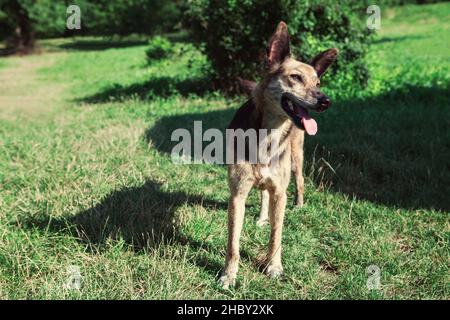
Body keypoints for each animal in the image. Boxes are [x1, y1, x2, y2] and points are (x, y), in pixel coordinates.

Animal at [220, 21, 340, 288]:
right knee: (263, 194)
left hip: (296, 161)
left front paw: (273, 266)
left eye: (318, 83)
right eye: (295, 77)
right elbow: (233, 243)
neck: (268, 135)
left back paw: (300, 205)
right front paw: (228, 275)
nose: (326, 101)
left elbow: (276, 236)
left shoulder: (280, 193)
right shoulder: (237, 195)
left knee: (300, 181)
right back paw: (262, 217)